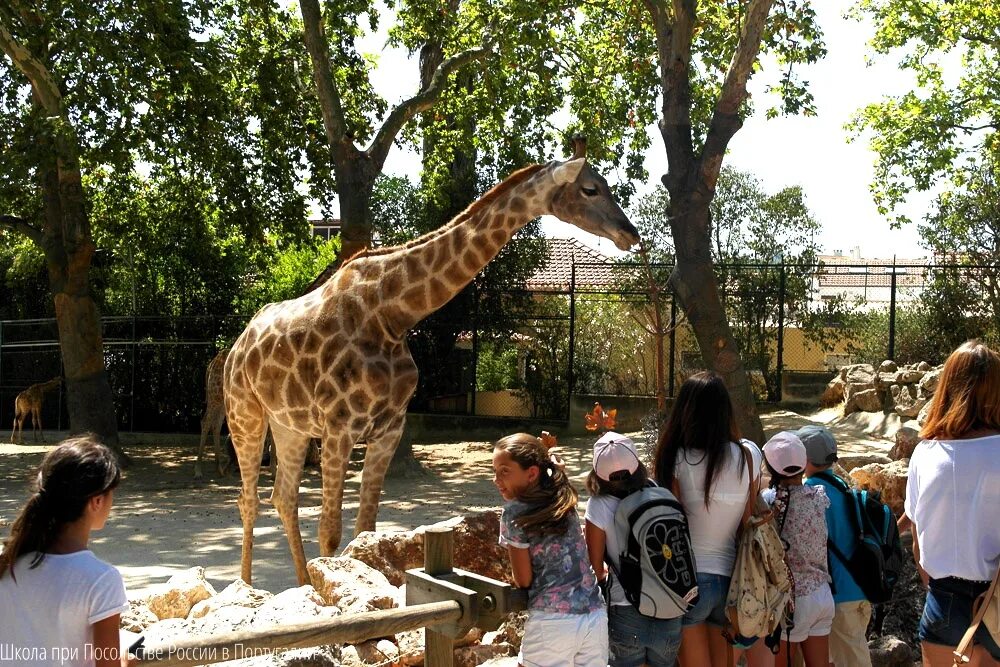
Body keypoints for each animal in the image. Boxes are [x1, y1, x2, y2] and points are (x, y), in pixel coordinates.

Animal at [225, 144, 640, 588]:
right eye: (590, 188)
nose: (629, 233)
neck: (393, 314)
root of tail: (236, 346)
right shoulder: (339, 428)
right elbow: (331, 531)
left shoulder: (389, 428)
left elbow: (365, 528)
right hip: (246, 417)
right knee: (249, 500)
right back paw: (246, 587)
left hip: (290, 425)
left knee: (282, 497)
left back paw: (301, 583)